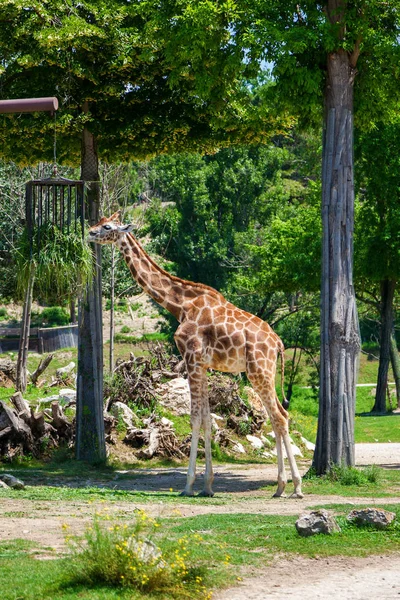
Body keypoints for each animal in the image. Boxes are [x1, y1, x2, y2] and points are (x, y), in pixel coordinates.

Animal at [88, 213, 304, 500]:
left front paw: (189, 485)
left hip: (259, 370)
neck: (180, 305)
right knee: (276, 416)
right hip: (260, 372)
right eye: (101, 221)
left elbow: (194, 418)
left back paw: (297, 488)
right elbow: (206, 420)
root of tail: (278, 342)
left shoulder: (191, 358)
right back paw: (280, 487)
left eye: (107, 226)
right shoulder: (202, 364)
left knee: (280, 417)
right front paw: (208, 486)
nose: (89, 232)